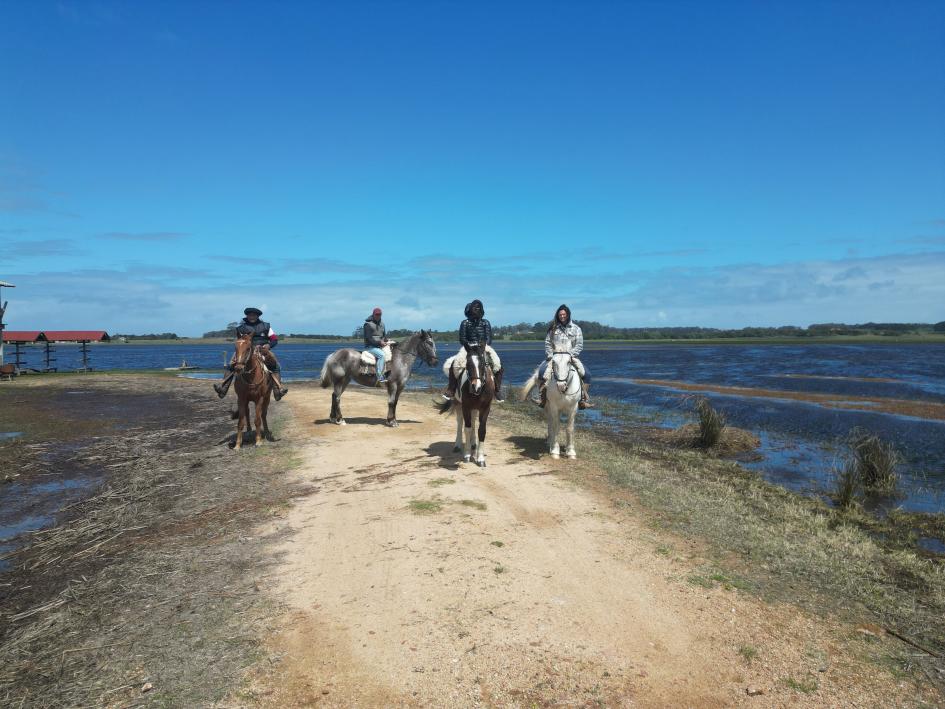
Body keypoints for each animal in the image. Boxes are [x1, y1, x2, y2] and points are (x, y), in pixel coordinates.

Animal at [436, 340, 494, 468]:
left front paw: (480, 458)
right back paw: (458, 445)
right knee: (460, 423)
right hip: (458, 404)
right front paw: (467, 455)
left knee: (472, 422)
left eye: (483, 363)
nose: (475, 387)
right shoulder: (466, 407)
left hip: (475, 408)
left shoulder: (485, 408)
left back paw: (473, 444)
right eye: (468, 364)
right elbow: (467, 428)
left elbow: (481, 430)